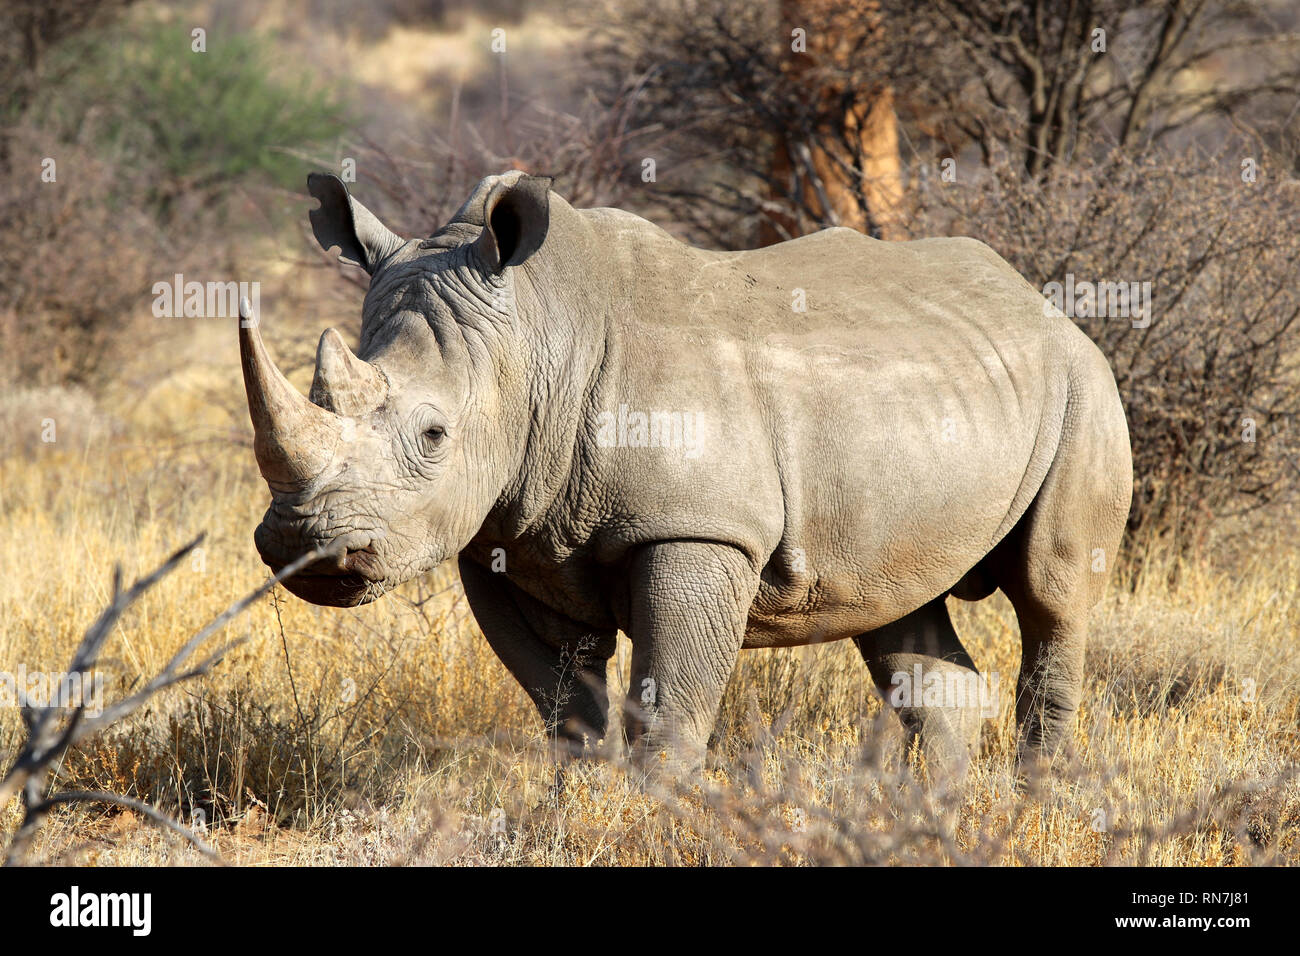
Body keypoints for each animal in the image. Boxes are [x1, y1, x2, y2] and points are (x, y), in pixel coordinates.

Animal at [239, 170, 1132, 777]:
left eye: (432, 435)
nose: (304, 549)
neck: (538, 338)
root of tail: (1041, 302)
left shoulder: (698, 531)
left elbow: (667, 711)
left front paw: (654, 822)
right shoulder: (507, 535)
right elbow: (567, 712)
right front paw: (579, 817)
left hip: (1083, 385)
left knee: (1051, 596)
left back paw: (1033, 803)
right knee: (899, 608)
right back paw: (935, 815)